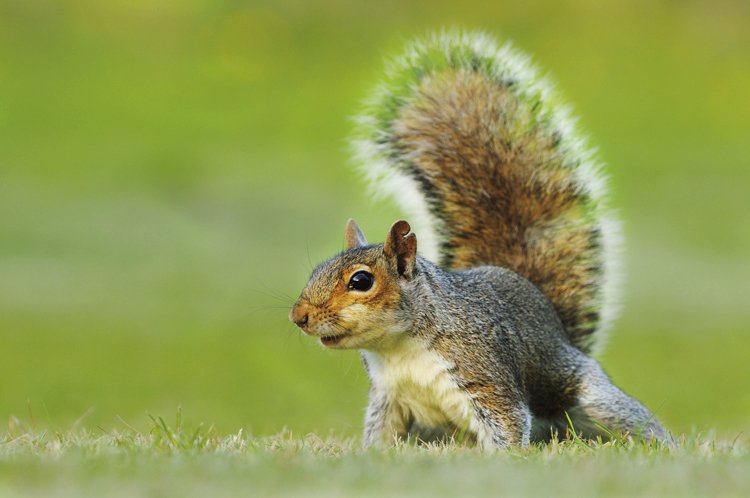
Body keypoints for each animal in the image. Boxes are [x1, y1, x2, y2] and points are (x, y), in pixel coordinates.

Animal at [288, 33, 668, 450]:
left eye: (361, 281)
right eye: (316, 269)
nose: (298, 316)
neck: (399, 347)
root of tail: (559, 328)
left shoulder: (485, 376)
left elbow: (509, 424)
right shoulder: (388, 398)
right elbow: (380, 435)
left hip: (586, 393)